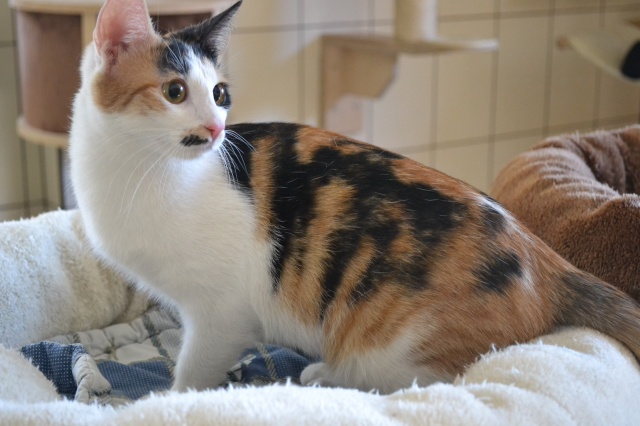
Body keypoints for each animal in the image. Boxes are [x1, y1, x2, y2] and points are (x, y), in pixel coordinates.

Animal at [69, 0, 640, 394]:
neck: (144, 173)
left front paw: (172, 400)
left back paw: (325, 373)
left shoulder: (220, 314)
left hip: (394, 346)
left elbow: (191, 371)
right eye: (174, 92)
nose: (216, 128)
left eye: (220, 94)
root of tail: (548, 258)